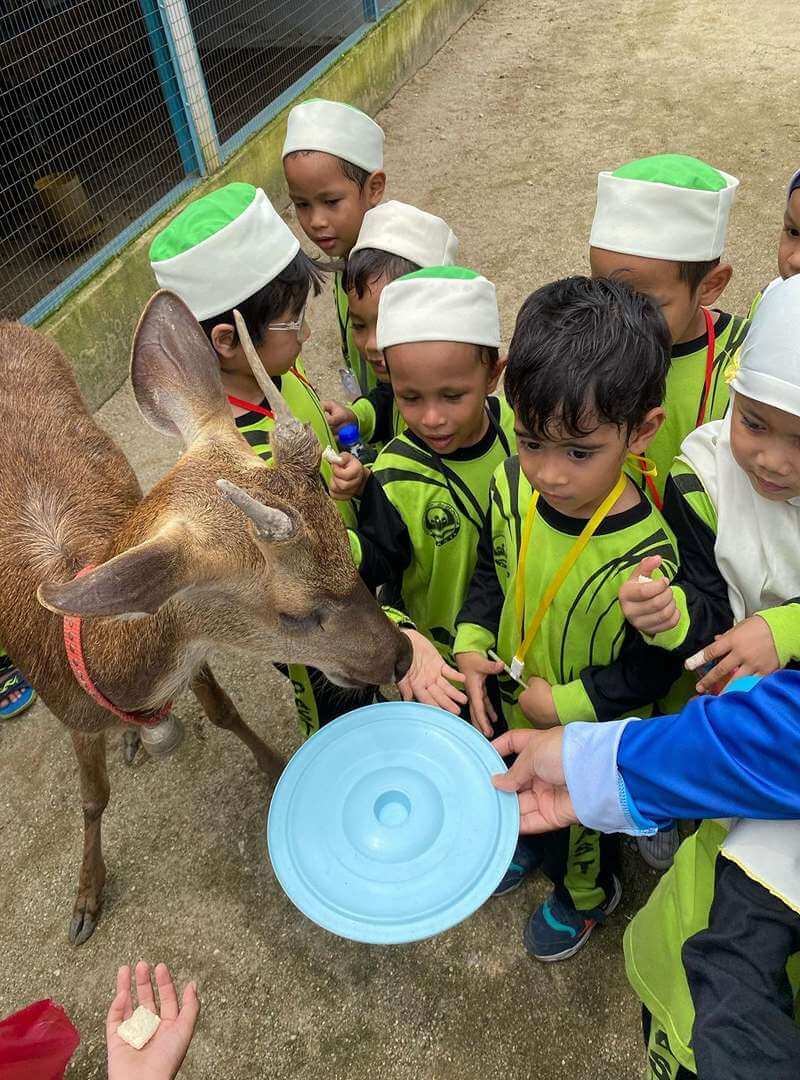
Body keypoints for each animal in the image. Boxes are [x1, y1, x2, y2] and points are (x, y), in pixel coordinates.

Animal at [0, 291, 408, 941]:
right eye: (294, 614)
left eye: (349, 551)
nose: (400, 654)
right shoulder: (73, 715)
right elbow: (91, 799)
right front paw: (85, 899)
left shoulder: (191, 658)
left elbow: (223, 711)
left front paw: (274, 767)